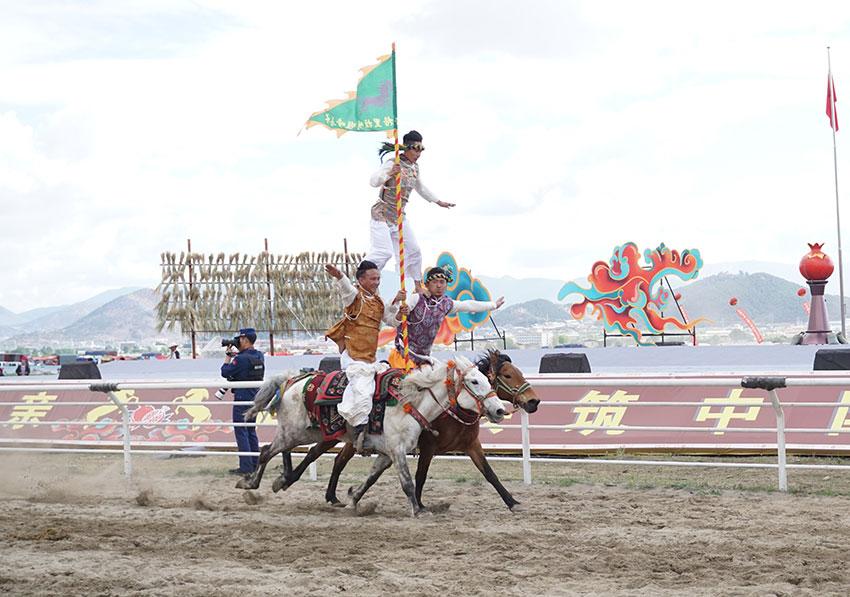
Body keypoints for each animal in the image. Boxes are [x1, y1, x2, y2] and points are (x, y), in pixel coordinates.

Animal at [238, 354, 504, 516]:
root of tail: (292, 380)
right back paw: (250, 483)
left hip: (306, 433)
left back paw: (282, 479)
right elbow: (408, 482)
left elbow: (371, 478)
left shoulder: (387, 454)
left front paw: (353, 499)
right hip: (294, 432)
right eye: (474, 381)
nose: (500, 409)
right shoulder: (397, 450)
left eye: (487, 379)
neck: (409, 403)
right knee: (266, 451)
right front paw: (418, 510)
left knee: (284, 451)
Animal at [322, 350, 540, 512]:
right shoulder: (428, 447)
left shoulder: (471, 445)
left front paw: (512, 502)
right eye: (508, 375)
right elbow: (420, 475)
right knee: (335, 459)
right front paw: (419, 504)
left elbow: (489, 474)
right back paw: (332, 496)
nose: (534, 401)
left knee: (338, 459)